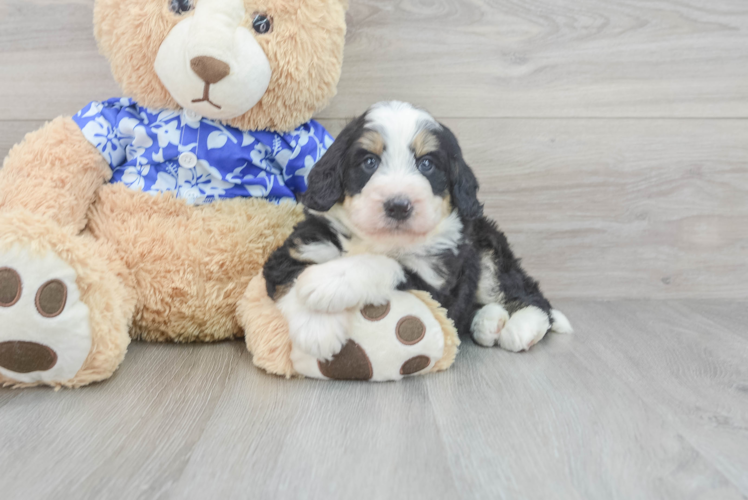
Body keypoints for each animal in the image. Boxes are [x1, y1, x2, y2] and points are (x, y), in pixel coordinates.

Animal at [262, 100, 572, 360]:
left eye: (426, 164)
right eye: (370, 161)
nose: (399, 206)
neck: (380, 240)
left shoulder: (436, 287)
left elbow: (385, 264)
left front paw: (329, 281)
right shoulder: (301, 247)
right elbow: (292, 278)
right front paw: (316, 326)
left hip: (488, 253)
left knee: (531, 296)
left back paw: (520, 328)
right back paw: (488, 322)